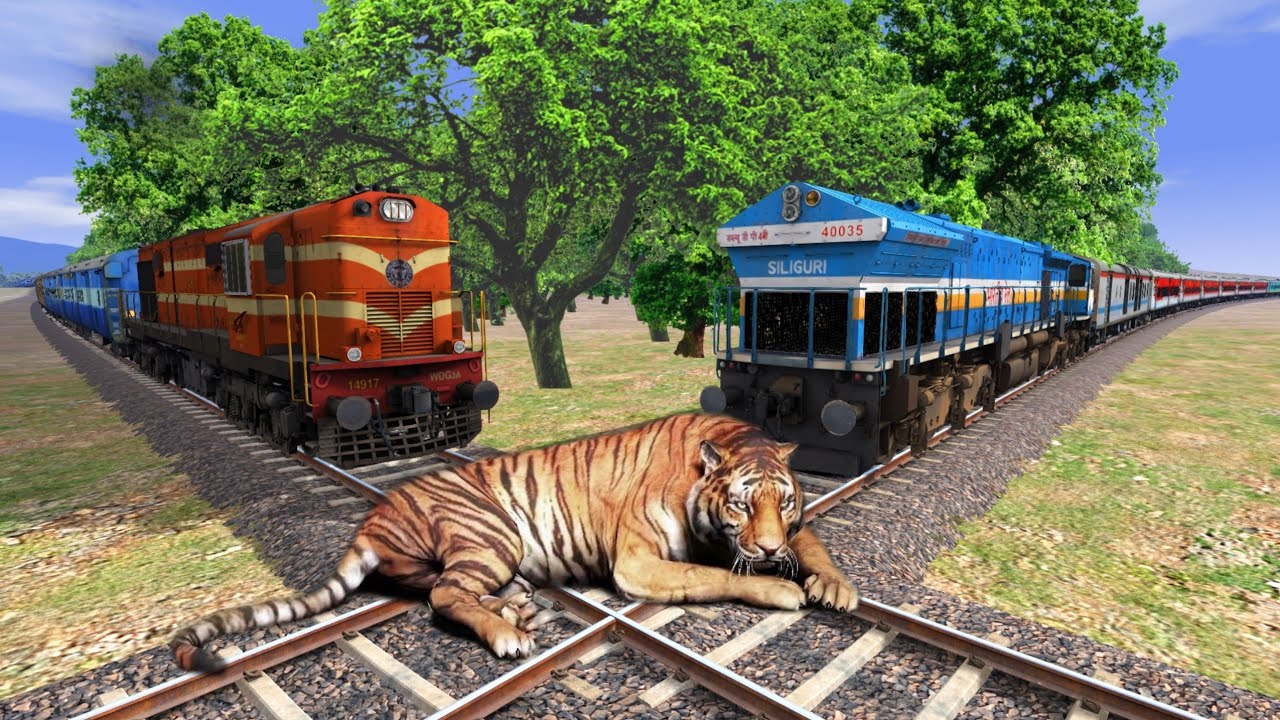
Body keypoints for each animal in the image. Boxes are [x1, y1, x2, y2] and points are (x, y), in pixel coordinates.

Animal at [171, 412, 859, 671]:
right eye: (742, 502)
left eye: (785, 501)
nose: (766, 548)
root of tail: (374, 513)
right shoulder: (639, 563)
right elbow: (714, 576)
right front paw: (779, 589)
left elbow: (814, 545)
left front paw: (835, 586)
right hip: (491, 529)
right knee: (445, 596)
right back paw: (509, 633)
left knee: (442, 587)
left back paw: (517, 607)